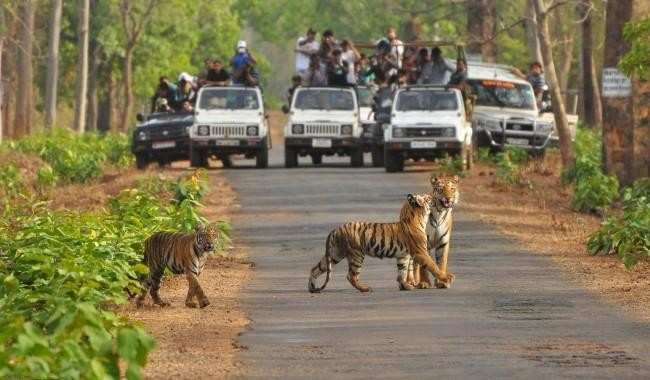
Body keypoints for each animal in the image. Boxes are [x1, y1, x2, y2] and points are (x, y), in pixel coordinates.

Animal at [306, 193, 454, 294]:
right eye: (428, 197)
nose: (435, 197)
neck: (419, 217)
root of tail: (335, 229)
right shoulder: (420, 251)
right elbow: (433, 266)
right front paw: (446, 278)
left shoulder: (403, 255)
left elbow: (402, 272)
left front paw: (405, 286)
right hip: (356, 254)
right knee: (351, 276)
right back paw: (366, 289)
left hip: (335, 254)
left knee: (315, 269)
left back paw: (312, 288)